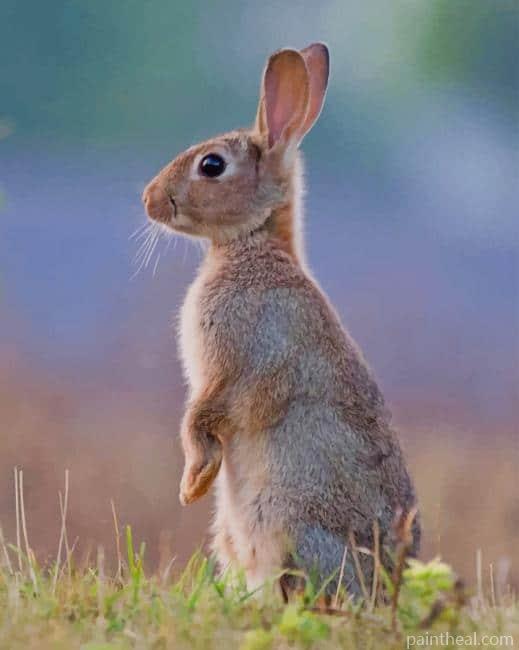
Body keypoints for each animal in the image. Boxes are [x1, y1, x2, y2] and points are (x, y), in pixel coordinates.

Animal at [142, 42, 420, 597]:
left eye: (211, 165)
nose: (149, 200)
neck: (253, 242)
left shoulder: (233, 364)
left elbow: (200, 420)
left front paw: (192, 485)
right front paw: (195, 486)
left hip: (283, 516)